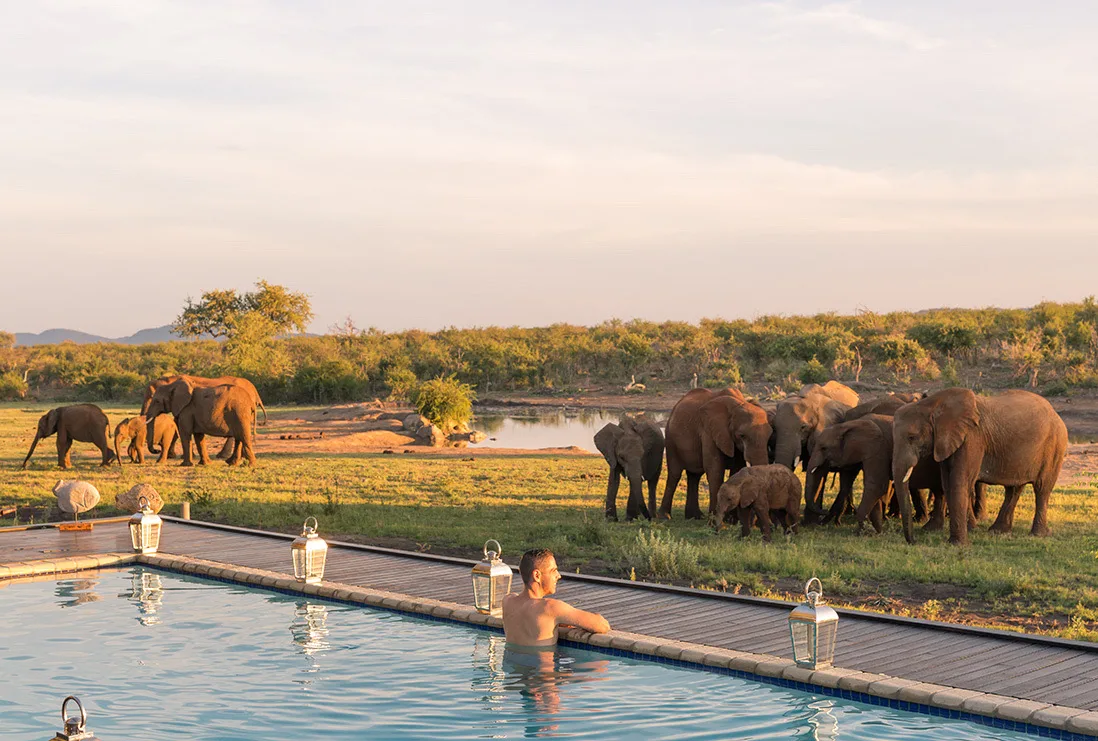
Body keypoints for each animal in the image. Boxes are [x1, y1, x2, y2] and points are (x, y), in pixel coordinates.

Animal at [659, 388, 772, 520]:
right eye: (742, 436)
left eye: (770, 435)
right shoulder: (708, 431)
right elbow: (715, 470)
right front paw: (716, 520)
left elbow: (736, 469)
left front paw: (731, 520)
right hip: (670, 439)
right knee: (675, 474)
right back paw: (665, 517)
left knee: (694, 475)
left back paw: (695, 516)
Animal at [892, 388, 1068, 546]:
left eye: (912, 437)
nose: (914, 541)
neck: (934, 403)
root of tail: (1055, 413)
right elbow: (947, 484)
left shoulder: (972, 438)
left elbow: (959, 482)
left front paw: (957, 544)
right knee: (1014, 488)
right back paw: (998, 531)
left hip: (1055, 446)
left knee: (1042, 488)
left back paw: (1038, 534)